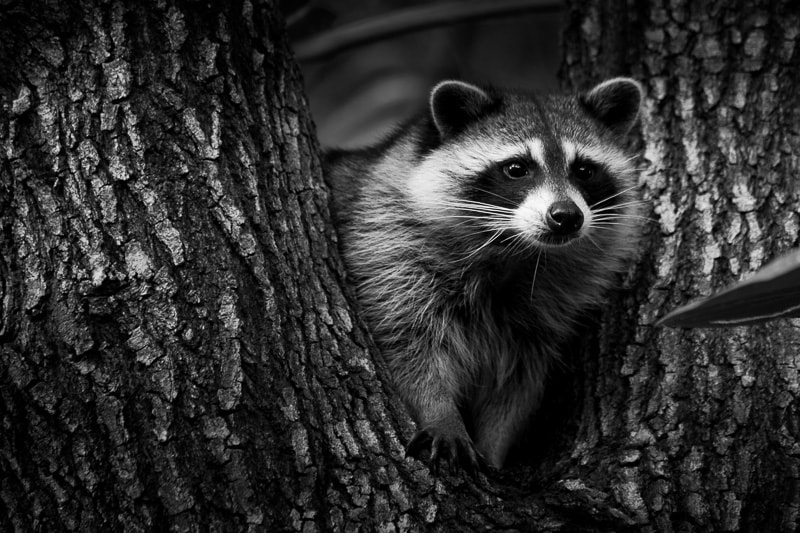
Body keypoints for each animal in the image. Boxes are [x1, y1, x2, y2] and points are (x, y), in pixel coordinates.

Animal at [324, 78, 644, 471]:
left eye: (584, 170)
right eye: (517, 168)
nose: (566, 216)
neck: (516, 251)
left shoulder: (538, 317)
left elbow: (516, 385)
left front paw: (494, 449)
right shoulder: (386, 250)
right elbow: (406, 345)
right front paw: (439, 412)